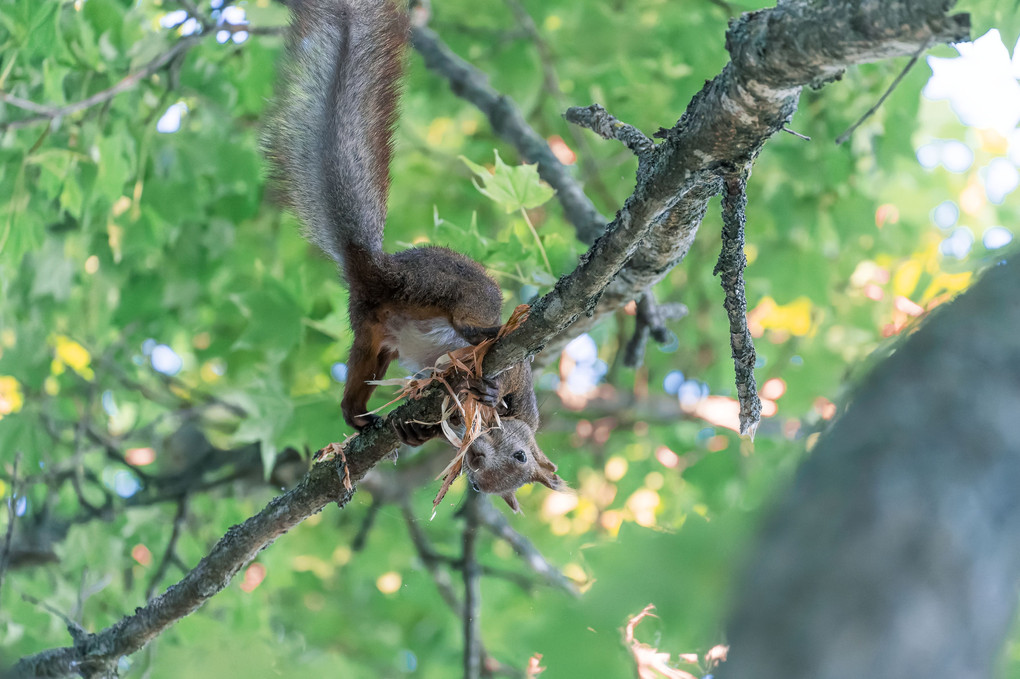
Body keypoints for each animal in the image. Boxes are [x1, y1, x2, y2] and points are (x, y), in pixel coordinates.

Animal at [267, 0, 563, 507]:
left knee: (356, 380)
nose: (476, 463)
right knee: (472, 319)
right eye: (519, 455)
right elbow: (509, 377)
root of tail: (376, 267)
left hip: (372, 335)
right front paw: (487, 392)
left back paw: (358, 415)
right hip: (448, 287)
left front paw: (414, 431)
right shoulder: (520, 379)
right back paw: (489, 331)